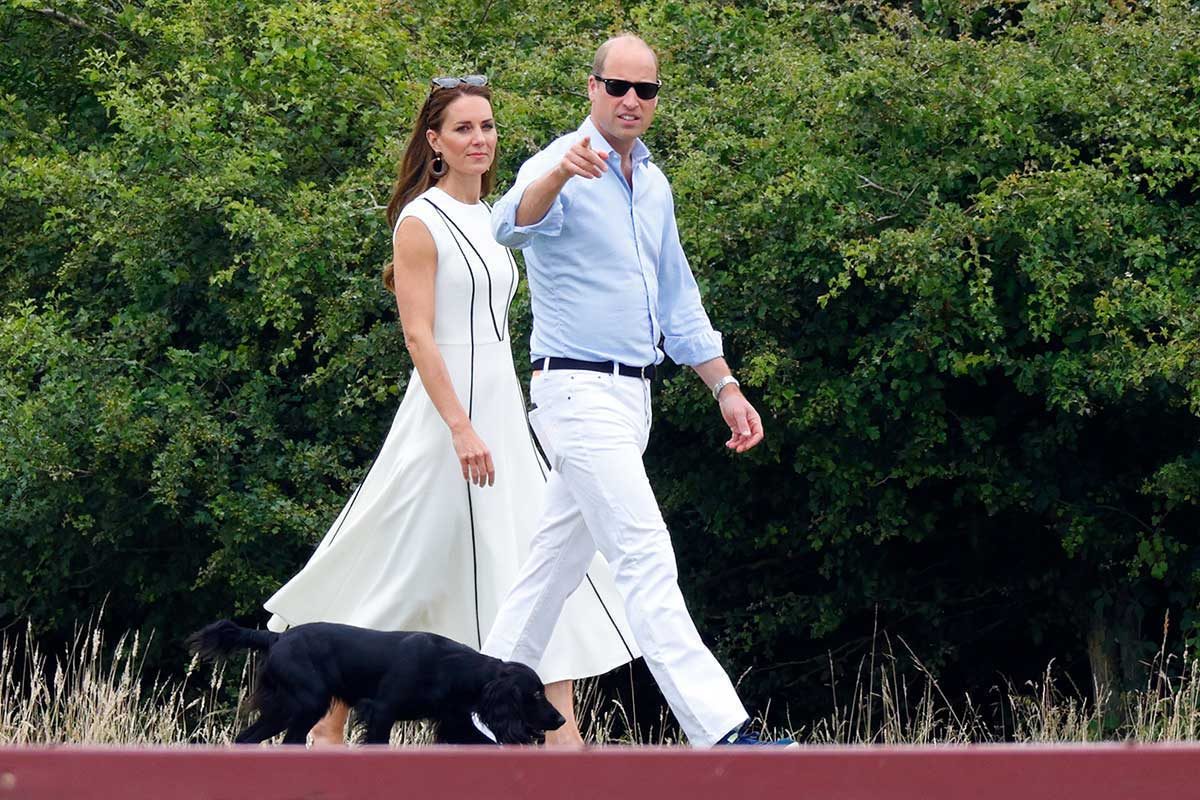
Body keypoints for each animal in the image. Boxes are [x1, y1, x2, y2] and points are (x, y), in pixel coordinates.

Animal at [184, 623, 564, 748]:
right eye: (535, 693)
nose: (560, 719)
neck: (454, 668)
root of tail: (277, 637)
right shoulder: (382, 711)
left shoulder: (454, 721)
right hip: (306, 704)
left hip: (286, 709)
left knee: (247, 738)